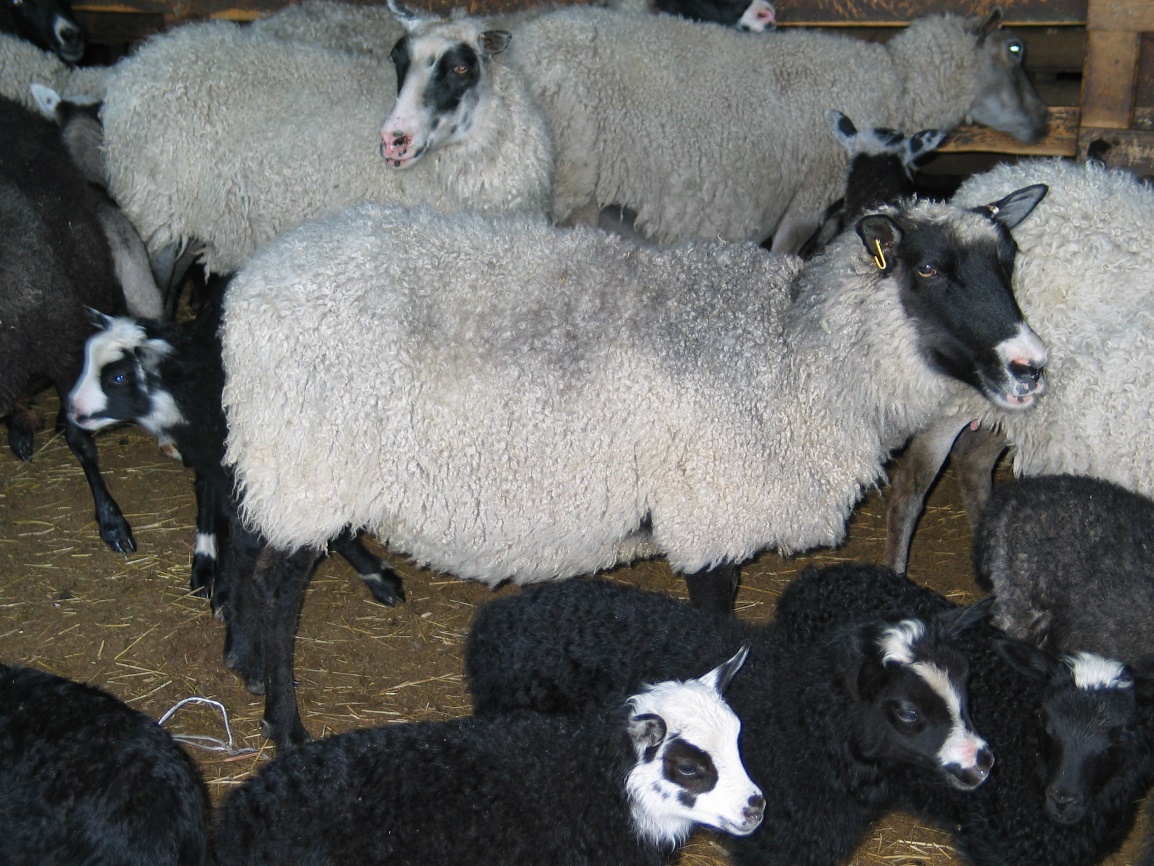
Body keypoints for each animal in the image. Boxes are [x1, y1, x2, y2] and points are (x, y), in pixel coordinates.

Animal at [217, 185, 1049, 746]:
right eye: (930, 269)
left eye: (1008, 263)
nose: (1031, 365)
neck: (794, 356)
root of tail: (254, 281)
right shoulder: (710, 512)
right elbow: (715, 626)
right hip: (310, 458)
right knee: (277, 586)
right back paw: (284, 720)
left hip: (283, 457)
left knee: (249, 538)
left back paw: (252, 652)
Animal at [464, 571, 995, 866]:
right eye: (907, 712)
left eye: (967, 681)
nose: (983, 760)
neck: (804, 721)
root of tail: (492, 622)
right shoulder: (778, 842)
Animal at [503, 5, 1048, 251]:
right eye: (1015, 48)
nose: (1043, 121)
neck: (900, 82)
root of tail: (519, 40)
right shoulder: (810, 194)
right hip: (571, 188)